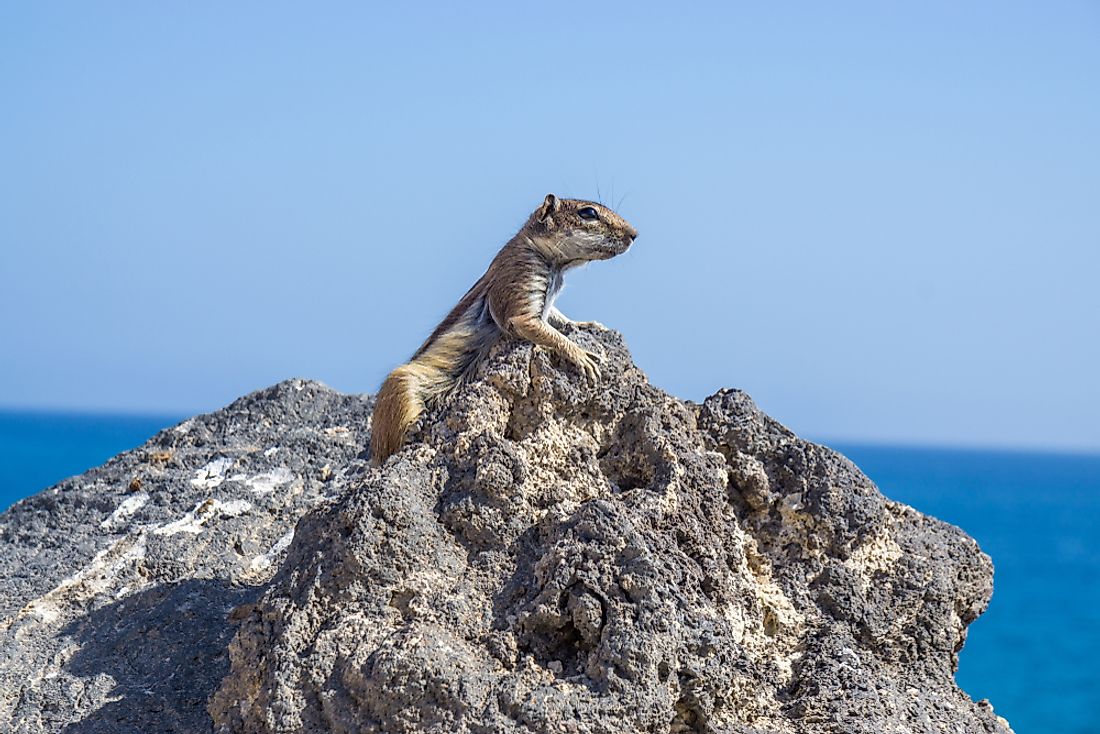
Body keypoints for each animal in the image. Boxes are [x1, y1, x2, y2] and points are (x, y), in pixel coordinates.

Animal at [371, 194, 638, 464]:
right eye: (589, 213)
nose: (634, 234)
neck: (553, 264)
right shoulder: (521, 281)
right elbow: (539, 328)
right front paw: (581, 355)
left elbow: (556, 316)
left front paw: (585, 324)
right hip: (403, 385)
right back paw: (411, 431)